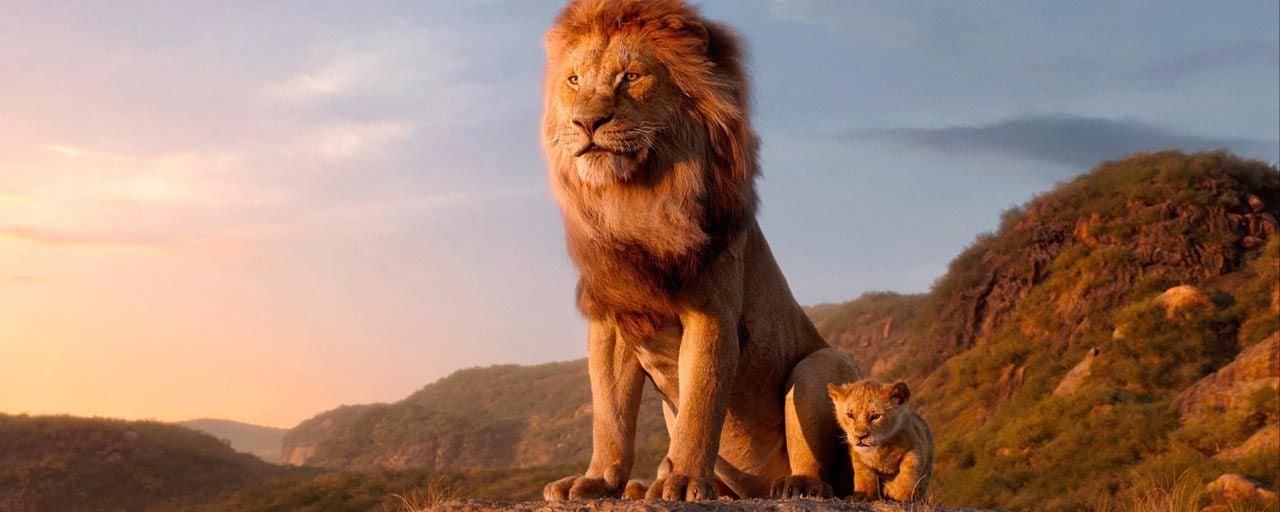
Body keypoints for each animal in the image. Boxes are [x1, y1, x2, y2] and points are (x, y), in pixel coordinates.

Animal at [539, 0, 862, 502]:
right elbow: (610, 416)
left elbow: (701, 405)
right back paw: (641, 487)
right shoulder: (612, 320)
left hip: (821, 365)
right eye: (574, 80)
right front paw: (596, 481)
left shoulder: (712, 313)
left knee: (821, 464)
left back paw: (797, 484)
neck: (633, 201)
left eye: (630, 76)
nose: (586, 123)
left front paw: (685, 480)